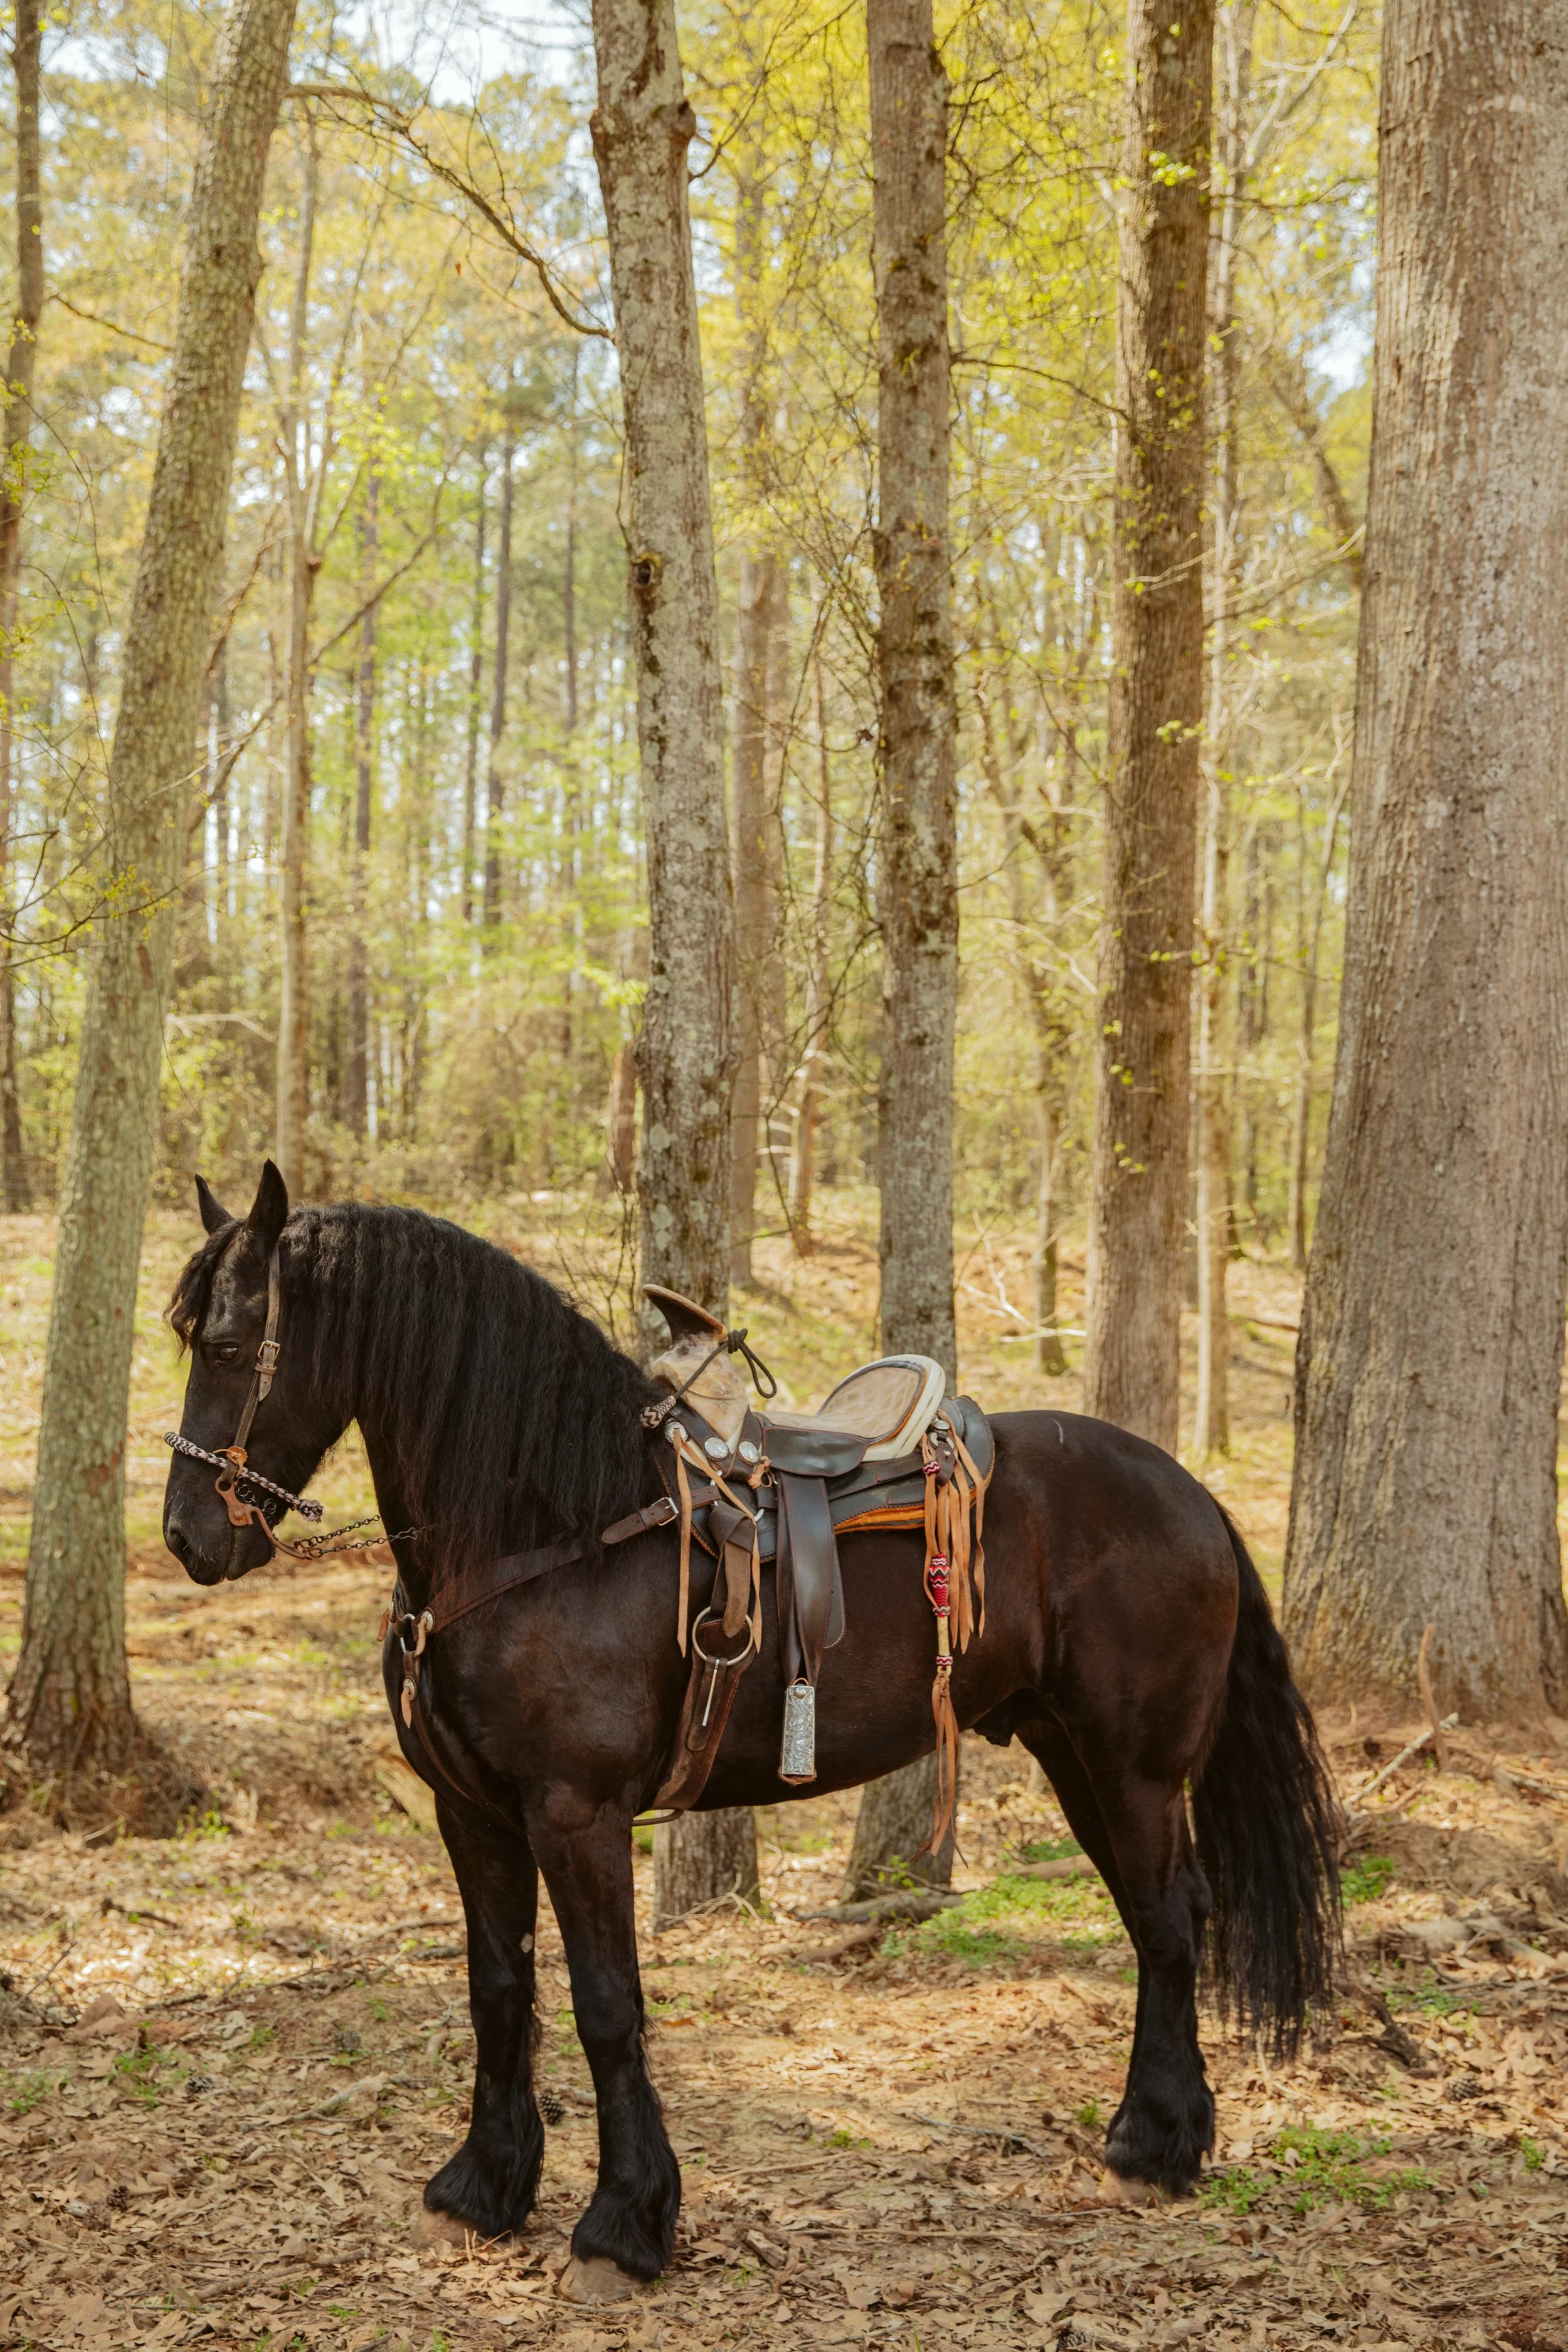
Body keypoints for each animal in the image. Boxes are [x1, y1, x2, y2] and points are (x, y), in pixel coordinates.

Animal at [161, 1162, 1338, 2300]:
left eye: (226, 1344)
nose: (187, 1537)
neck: (547, 1530)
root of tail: (1190, 1492)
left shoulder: (576, 1818)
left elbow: (605, 2006)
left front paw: (624, 2226)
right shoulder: (475, 1816)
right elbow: (499, 1990)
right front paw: (484, 2188)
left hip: (1133, 1768)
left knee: (1170, 1922)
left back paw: (1154, 2147)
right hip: (1073, 1755)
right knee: (1161, 1917)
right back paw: (1164, 2134)